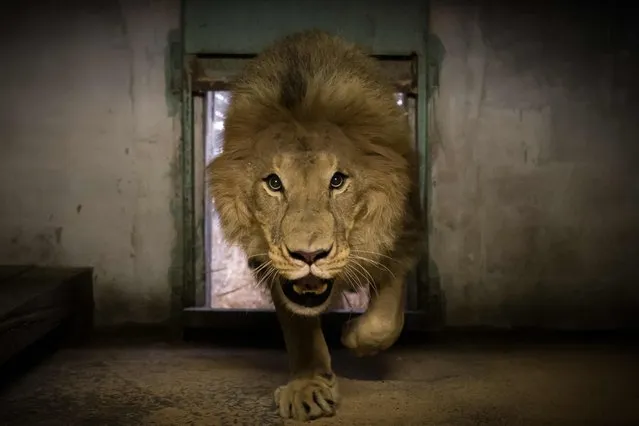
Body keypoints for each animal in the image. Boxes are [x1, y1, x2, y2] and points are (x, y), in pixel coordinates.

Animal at [208, 30, 422, 422]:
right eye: (274, 183)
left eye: (337, 180)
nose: (309, 255)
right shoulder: (270, 262)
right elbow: (299, 327)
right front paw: (308, 387)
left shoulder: (402, 232)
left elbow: (384, 320)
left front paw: (355, 337)